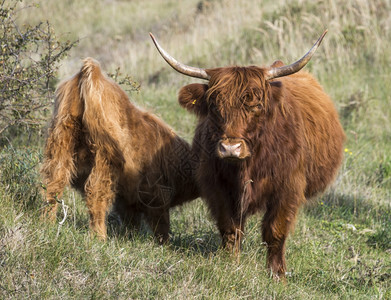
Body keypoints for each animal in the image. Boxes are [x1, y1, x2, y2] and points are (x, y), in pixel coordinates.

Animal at [41, 58, 199, 241]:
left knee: (54, 182)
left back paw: (47, 224)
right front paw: (162, 243)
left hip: (61, 139)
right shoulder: (157, 197)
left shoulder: (128, 200)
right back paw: (99, 237)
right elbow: (161, 226)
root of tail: (92, 72)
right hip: (105, 156)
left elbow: (131, 222)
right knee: (95, 192)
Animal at [150, 31, 346, 278]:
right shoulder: (217, 188)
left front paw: (277, 274)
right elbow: (230, 229)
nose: (230, 148)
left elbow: (275, 231)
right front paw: (230, 264)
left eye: (256, 106)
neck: (246, 166)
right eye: (214, 106)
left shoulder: (287, 188)